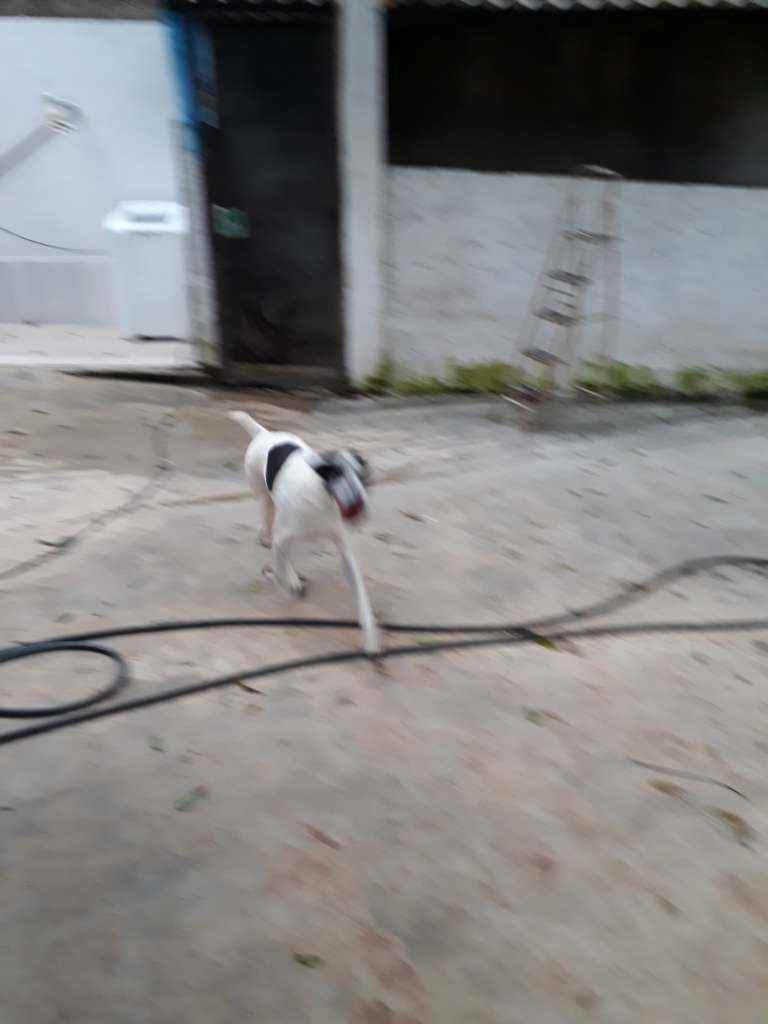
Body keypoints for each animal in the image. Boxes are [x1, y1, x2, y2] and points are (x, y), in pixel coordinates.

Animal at [229, 411, 381, 655]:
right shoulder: (282, 538)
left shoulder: (344, 550)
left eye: (362, 476)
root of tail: (264, 433)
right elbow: (280, 569)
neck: (321, 498)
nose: (357, 504)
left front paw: (370, 636)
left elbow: (360, 594)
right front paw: (289, 583)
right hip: (264, 497)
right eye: (335, 474)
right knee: (268, 521)